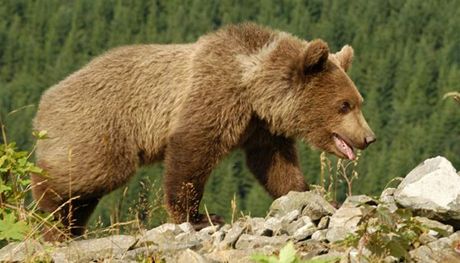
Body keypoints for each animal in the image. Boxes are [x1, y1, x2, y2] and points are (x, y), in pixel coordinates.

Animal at [33, 23, 378, 241]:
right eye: (344, 105)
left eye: (358, 102)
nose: (368, 137)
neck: (253, 87)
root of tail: (43, 102)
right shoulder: (215, 95)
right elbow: (192, 151)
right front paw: (199, 218)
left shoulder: (261, 128)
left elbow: (277, 167)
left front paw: (320, 198)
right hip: (100, 129)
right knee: (81, 176)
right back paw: (49, 217)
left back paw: (71, 226)